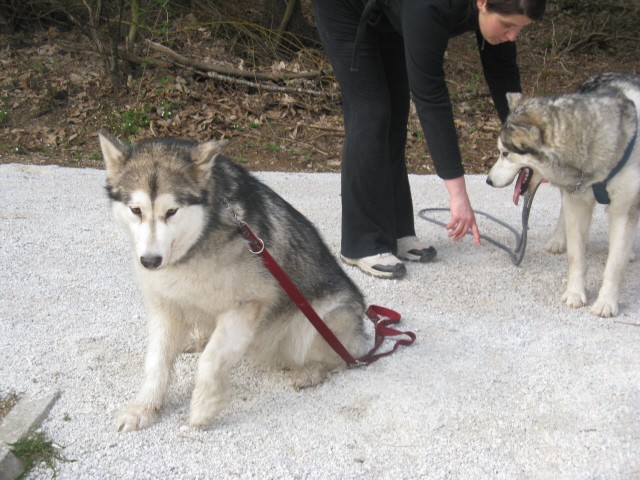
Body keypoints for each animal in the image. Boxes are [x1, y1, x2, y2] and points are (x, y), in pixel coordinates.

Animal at [100, 130, 370, 432]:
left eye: (171, 212)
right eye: (136, 210)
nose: (150, 261)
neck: (197, 243)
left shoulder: (247, 305)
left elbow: (211, 361)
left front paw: (203, 409)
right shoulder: (166, 307)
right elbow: (156, 362)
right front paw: (145, 407)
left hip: (319, 320)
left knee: (340, 357)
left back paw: (312, 371)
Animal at [488, 73, 636, 316]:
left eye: (505, 153)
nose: (488, 180)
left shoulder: (623, 209)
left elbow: (615, 264)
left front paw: (606, 301)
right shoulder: (577, 199)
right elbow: (576, 255)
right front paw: (575, 293)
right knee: (562, 211)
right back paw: (558, 239)